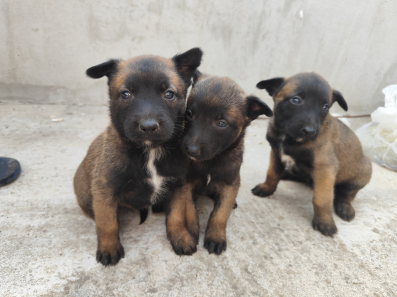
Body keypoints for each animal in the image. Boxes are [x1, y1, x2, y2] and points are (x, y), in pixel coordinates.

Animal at [74, 47, 203, 264]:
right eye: (126, 94)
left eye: (169, 94)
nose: (149, 126)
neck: (150, 151)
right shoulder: (105, 189)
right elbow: (107, 223)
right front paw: (109, 248)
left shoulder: (178, 186)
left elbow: (176, 217)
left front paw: (181, 238)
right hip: (84, 192)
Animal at [178, 72, 274, 254]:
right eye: (189, 114)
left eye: (221, 123)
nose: (190, 150)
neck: (212, 161)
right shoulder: (187, 181)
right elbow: (189, 207)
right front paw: (192, 229)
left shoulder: (230, 184)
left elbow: (221, 213)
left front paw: (215, 237)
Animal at [251, 71, 372, 236]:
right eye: (296, 100)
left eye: (325, 107)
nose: (310, 131)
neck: (288, 137)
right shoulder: (276, 153)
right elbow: (272, 174)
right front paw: (267, 188)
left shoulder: (325, 168)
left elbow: (322, 199)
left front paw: (325, 221)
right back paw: (287, 173)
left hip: (363, 173)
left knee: (347, 195)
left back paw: (345, 207)